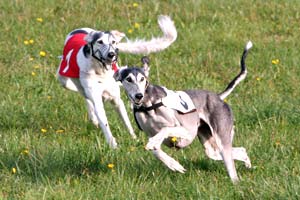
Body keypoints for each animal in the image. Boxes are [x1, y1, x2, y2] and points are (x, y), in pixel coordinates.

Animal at [57, 15, 177, 148]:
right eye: (100, 42)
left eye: (113, 42)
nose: (111, 54)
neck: (101, 72)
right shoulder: (95, 97)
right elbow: (103, 120)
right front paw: (113, 144)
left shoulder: (117, 100)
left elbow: (127, 122)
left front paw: (134, 139)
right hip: (65, 81)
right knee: (83, 95)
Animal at [115, 41, 253, 182]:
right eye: (128, 79)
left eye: (142, 79)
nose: (139, 96)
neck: (149, 106)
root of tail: (218, 97)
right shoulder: (150, 133)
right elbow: (155, 150)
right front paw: (173, 164)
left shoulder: (187, 132)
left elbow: (165, 129)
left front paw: (156, 144)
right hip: (212, 148)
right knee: (238, 150)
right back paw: (247, 162)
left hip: (221, 138)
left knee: (231, 167)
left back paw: (237, 181)